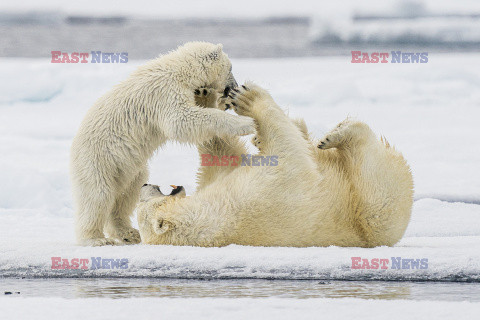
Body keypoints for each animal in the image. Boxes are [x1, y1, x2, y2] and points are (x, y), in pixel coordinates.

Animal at [70, 42, 255, 246]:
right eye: (230, 68)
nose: (234, 87)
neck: (179, 70)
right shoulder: (165, 93)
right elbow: (181, 120)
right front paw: (246, 123)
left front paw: (216, 99)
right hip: (99, 159)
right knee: (97, 196)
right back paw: (96, 239)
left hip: (128, 167)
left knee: (127, 194)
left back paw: (128, 232)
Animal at [137, 82, 414, 248]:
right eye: (142, 204)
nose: (144, 184)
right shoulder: (252, 198)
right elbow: (288, 155)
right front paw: (249, 98)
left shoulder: (220, 185)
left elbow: (221, 154)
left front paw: (206, 97)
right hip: (376, 212)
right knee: (371, 177)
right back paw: (339, 135)